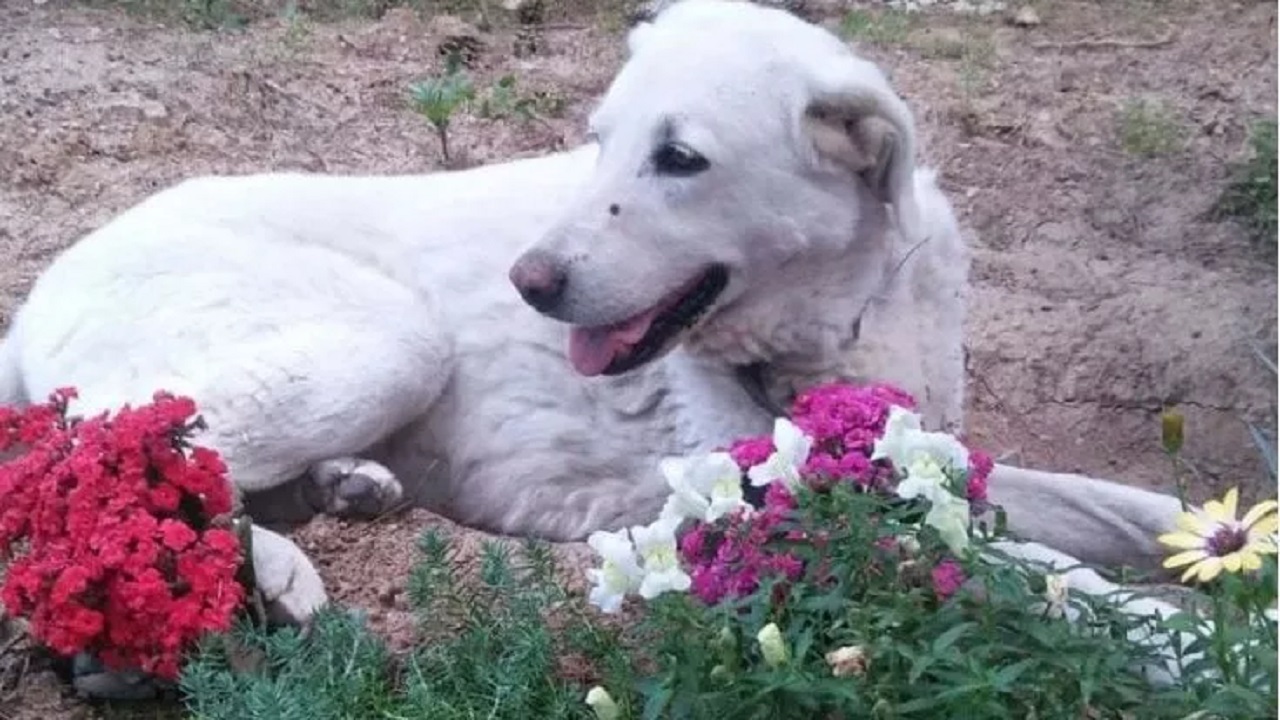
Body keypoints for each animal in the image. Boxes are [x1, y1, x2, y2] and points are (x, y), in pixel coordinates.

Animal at [0, 0, 1182, 622]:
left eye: (679, 159)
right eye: (600, 140)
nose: (526, 283)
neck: (826, 329)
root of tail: (40, 293)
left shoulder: (939, 461)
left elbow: (1123, 511)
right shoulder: (790, 508)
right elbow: (1064, 582)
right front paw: (1175, 639)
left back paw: (344, 490)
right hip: (390, 340)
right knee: (102, 454)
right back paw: (283, 570)